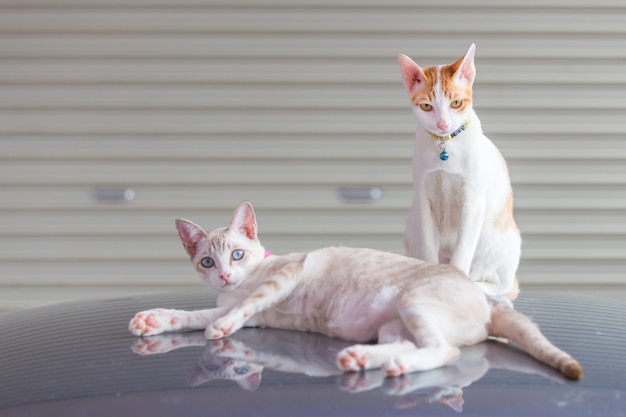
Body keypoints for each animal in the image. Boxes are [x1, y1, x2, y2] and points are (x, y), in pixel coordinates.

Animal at [129, 200, 584, 378]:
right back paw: (362, 358)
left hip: (413, 301)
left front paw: (220, 330)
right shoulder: (241, 311)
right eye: (208, 261)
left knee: (444, 351)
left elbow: (240, 309)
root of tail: (488, 302)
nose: (225, 275)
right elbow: (193, 315)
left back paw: (388, 364)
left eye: (237, 255)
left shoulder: (283, 277)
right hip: (395, 323)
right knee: (414, 344)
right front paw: (153, 320)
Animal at [398, 44, 520, 300]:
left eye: (456, 103)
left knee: (500, 285)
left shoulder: (473, 200)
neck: (446, 145)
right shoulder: (424, 199)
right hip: (412, 227)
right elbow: (428, 250)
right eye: (427, 106)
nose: (443, 124)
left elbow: (462, 254)